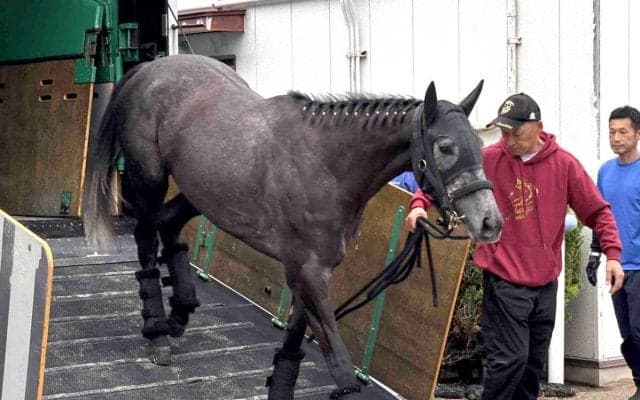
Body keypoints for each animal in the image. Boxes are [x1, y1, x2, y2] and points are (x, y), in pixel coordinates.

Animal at [82, 54, 502, 399]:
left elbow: (293, 347)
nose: (490, 222)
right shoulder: (308, 271)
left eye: (479, 145)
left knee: (168, 227)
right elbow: (341, 368)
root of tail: (149, 69)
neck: (326, 165)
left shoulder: (312, 270)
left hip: (201, 191)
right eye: (445, 147)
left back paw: (179, 315)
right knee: (145, 236)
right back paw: (157, 332)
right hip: (149, 179)